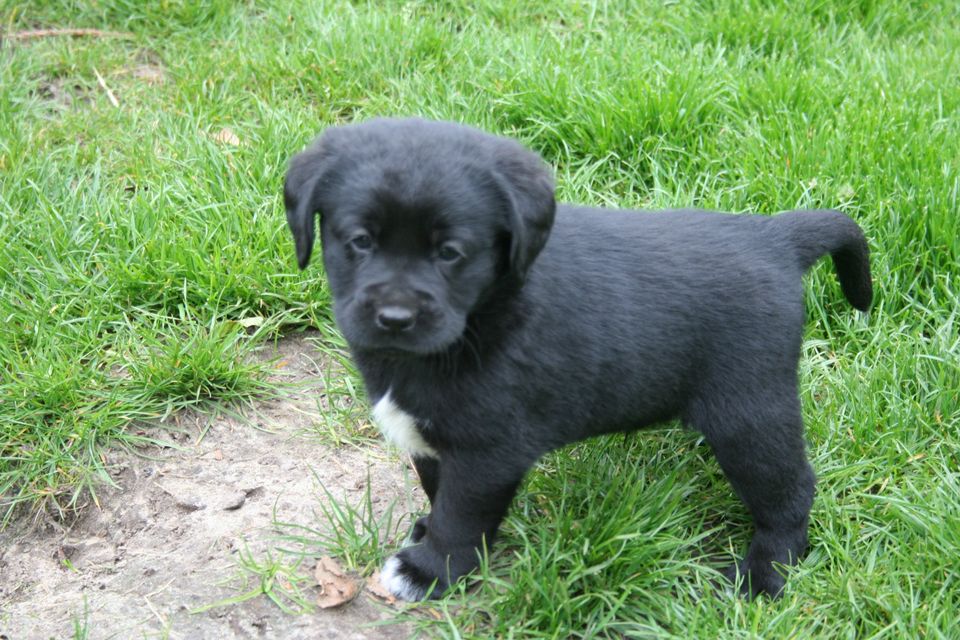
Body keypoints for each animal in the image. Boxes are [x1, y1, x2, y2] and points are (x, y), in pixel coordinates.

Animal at [282, 119, 872, 600]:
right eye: (360, 241)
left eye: (450, 253)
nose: (395, 317)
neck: (481, 317)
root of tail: (774, 237)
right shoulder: (431, 437)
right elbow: (436, 488)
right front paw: (437, 537)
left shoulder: (487, 450)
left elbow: (459, 513)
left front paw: (431, 570)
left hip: (748, 411)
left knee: (791, 491)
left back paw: (765, 574)